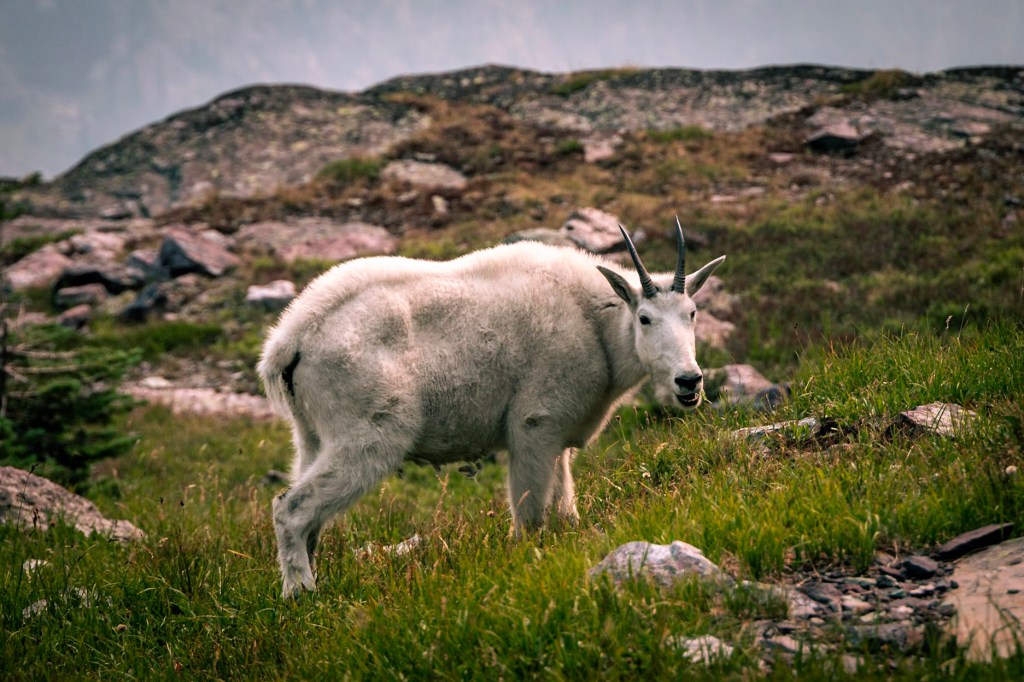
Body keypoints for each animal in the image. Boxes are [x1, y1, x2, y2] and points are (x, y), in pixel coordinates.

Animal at [259, 219, 725, 596]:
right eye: (645, 318)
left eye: (692, 313)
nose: (689, 381)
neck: (597, 324)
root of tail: (290, 340)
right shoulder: (535, 425)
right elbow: (530, 517)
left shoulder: (558, 437)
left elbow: (565, 507)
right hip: (369, 431)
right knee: (291, 508)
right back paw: (300, 594)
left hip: (311, 435)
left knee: (309, 514)